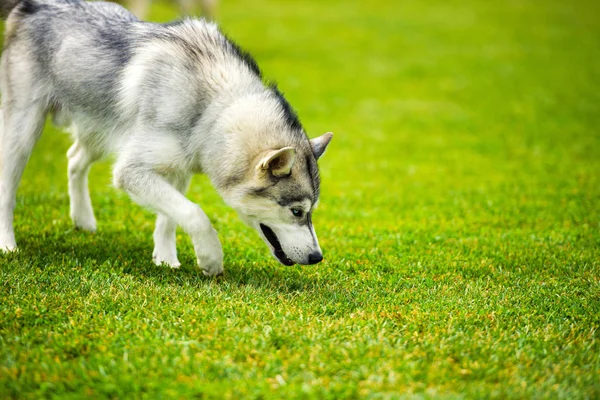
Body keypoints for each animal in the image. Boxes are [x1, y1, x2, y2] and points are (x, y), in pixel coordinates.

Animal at [0, 0, 332, 276]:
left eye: (311, 211)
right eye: (297, 211)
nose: (317, 257)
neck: (212, 108)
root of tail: (32, 5)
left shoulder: (178, 169)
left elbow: (171, 215)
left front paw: (165, 258)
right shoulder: (131, 171)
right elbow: (194, 212)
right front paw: (210, 257)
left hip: (100, 130)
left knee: (74, 158)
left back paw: (83, 219)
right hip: (25, 130)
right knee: (8, 187)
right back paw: (7, 244)